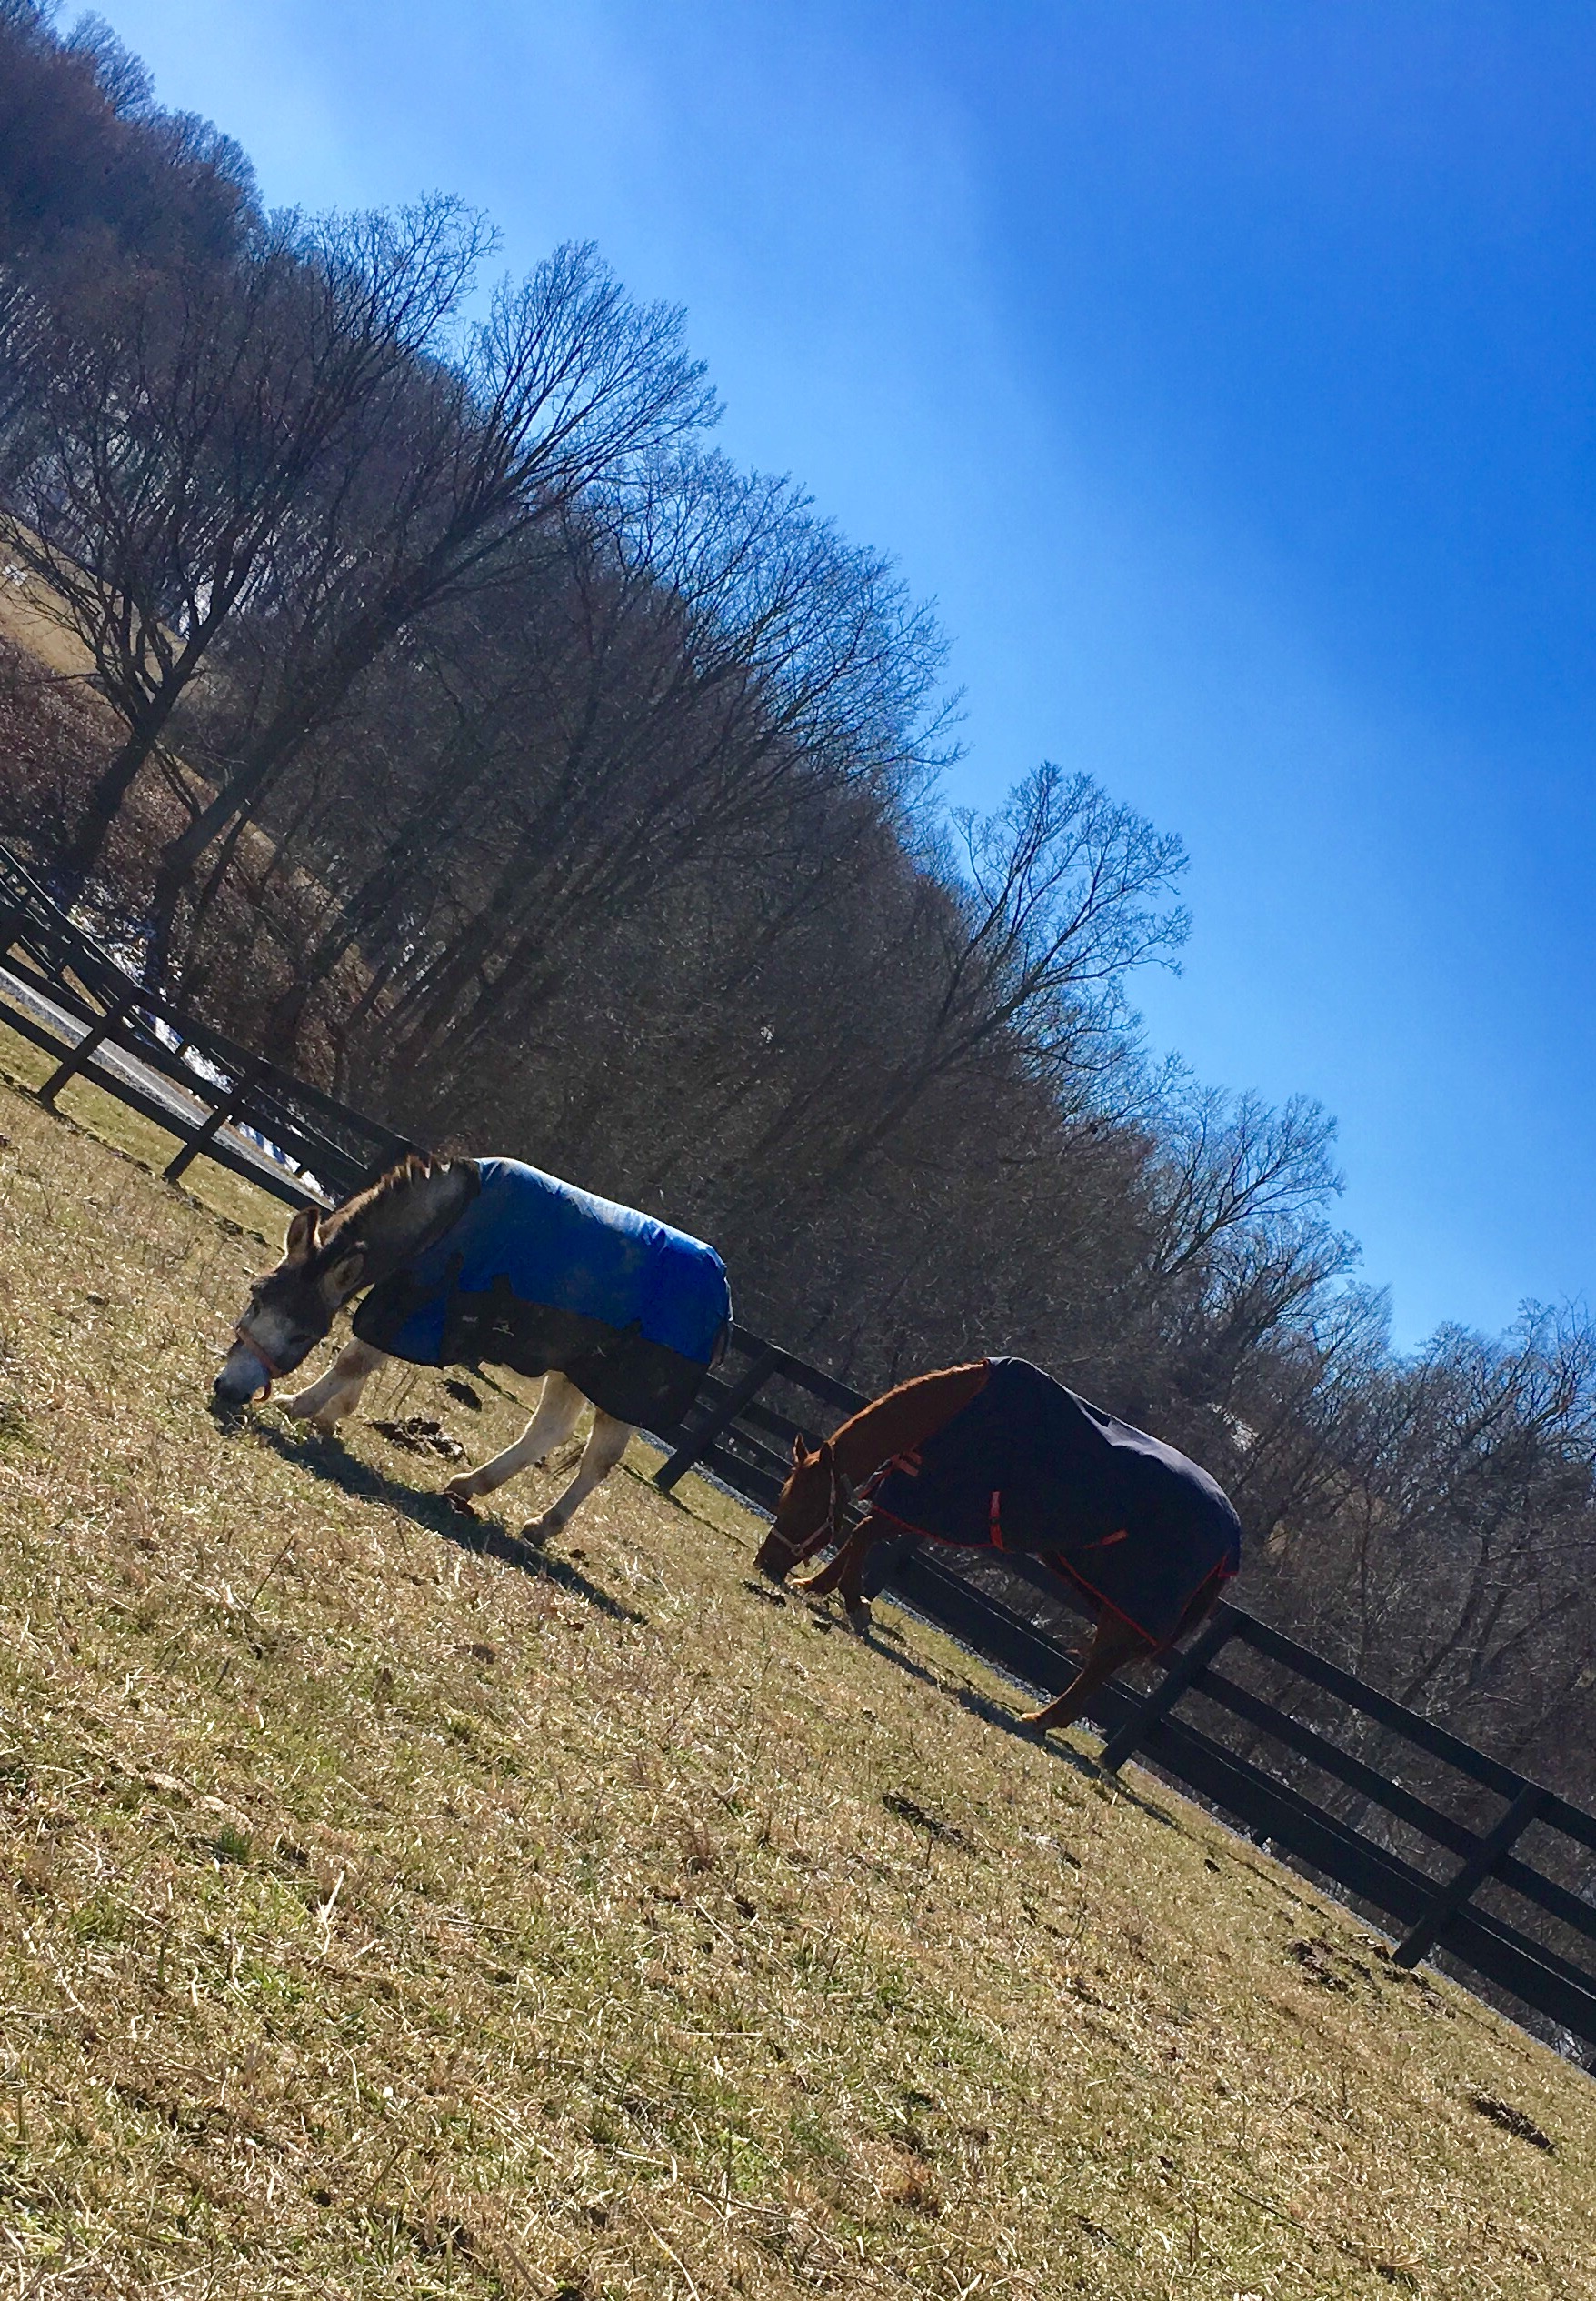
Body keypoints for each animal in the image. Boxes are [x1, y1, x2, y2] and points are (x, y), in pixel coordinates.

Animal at [213, 1154, 731, 1542]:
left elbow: (356, 1357)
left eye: (302, 1335)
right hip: (574, 1369)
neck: (447, 1218)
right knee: (550, 1429)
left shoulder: (420, 1304)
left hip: (619, 1392)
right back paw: (471, 1484)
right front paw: (331, 1415)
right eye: (256, 1298)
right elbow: (363, 1359)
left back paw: (543, 1525)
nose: (228, 1389)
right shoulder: (405, 1298)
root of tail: (722, 1295)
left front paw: (298, 1405)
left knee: (599, 1456)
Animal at [752, 1356, 1241, 1735]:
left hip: (1129, 1607)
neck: (960, 1409)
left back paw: (1041, 1719)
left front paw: (853, 1602)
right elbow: (860, 1533)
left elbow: (861, 1533)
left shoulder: (935, 1502)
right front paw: (817, 1586)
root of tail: (1230, 1534)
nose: (765, 1562)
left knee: (1101, 1664)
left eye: (806, 1504)